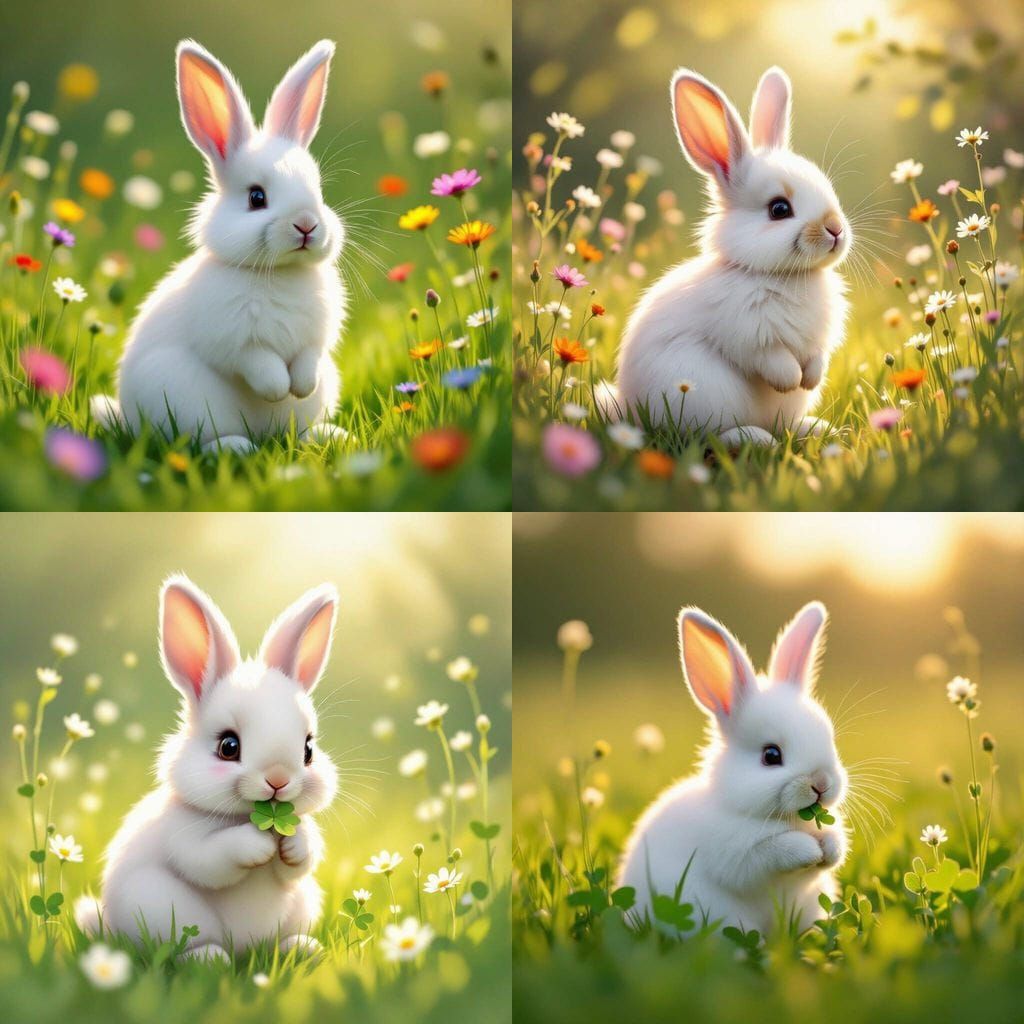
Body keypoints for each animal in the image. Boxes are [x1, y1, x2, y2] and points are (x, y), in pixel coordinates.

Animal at [74, 574, 339, 961]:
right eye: (228, 747)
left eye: (308, 749)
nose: (278, 779)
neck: (248, 815)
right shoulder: (185, 838)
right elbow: (213, 858)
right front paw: (259, 845)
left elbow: (301, 861)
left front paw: (293, 846)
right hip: (161, 904)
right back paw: (210, 958)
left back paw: (302, 949)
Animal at [90, 39, 347, 454]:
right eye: (257, 197)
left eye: (319, 192)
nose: (307, 224)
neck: (278, 273)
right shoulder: (236, 344)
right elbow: (261, 366)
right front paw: (279, 389)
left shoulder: (316, 341)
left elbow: (308, 361)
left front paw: (302, 387)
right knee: (196, 443)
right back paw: (237, 447)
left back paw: (332, 436)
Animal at [597, 67, 851, 447]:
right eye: (779, 209)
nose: (835, 229)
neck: (787, 276)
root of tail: (629, 412)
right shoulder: (749, 336)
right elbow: (773, 361)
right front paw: (792, 379)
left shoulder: (817, 342)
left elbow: (816, 358)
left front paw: (810, 379)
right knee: (707, 437)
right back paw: (756, 438)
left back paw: (820, 430)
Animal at [618, 601, 848, 937]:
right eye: (771, 755)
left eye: (830, 738)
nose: (821, 783)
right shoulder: (736, 856)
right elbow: (773, 853)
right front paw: (809, 849)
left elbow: (832, 845)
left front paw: (828, 848)